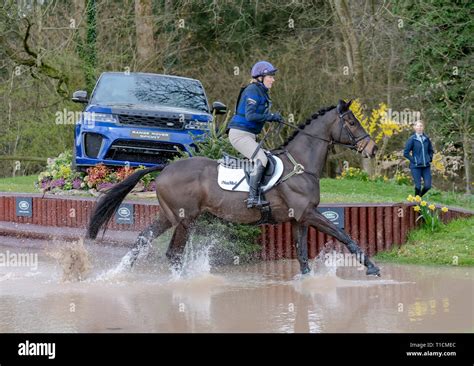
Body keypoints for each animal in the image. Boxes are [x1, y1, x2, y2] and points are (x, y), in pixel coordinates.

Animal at [86, 98, 382, 276]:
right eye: (352, 122)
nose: (372, 148)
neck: (301, 165)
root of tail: (165, 168)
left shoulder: (298, 218)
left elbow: (302, 254)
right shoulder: (308, 214)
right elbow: (344, 235)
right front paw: (372, 268)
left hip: (168, 216)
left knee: (142, 240)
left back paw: (117, 274)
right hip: (184, 219)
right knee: (173, 253)